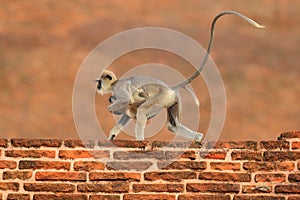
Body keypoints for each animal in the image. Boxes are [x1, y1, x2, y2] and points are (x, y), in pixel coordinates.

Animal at [95, 10, 264, 141]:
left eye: (100, 82)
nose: (98, 86)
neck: (115, 83)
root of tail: (170, 88)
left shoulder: (119, 89)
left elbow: (127, 101)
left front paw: (112, 109)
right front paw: (112, 134)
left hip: (163, 97)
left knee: (143, 109)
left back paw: (141, 138)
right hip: (173, 100)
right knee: (172, 126)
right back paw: (198, 138)